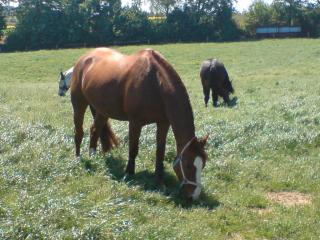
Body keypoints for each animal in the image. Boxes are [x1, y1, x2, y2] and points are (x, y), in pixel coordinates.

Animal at [70, 47, 209, 200]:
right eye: (188, 165)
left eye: (203, 164)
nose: (194, 196)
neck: (155, 83)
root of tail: (84, 58)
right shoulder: (135, 122)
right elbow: (133, 149)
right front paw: (129, 174)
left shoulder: (163, 123)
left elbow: (160, 152)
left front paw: (159, 181)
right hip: (79, 104)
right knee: (79, 131)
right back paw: (78, 158)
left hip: (103, 110)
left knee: (95, 129)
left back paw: (93, 155)